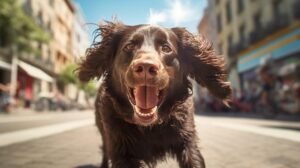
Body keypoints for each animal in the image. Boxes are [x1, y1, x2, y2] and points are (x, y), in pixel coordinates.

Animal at [77, 21, 232, 168]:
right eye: (129, 46)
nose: (146, 67)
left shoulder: (187, 142)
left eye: (166, 48)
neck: (150, 128)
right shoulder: (120, 150)